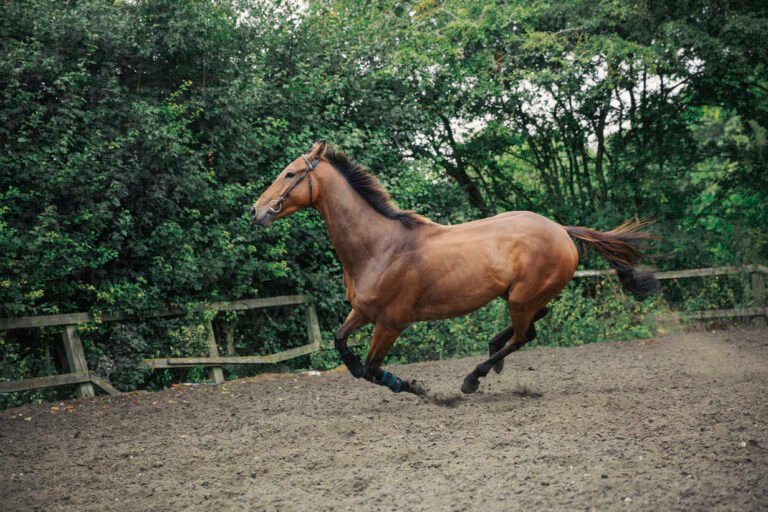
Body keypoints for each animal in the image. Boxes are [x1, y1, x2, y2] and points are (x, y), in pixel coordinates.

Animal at [251, 142, 659, 396]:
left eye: (290, 175)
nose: (257, 211)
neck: (380, 246)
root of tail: (561, 229)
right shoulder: (363, 311)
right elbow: (342, 345)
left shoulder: (391, 322)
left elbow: (371, 367)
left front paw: (413, 387)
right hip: (523, 295)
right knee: (533, 322)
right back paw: (491, 357)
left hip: (523, 297)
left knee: (525, 334)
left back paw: (473, 378)